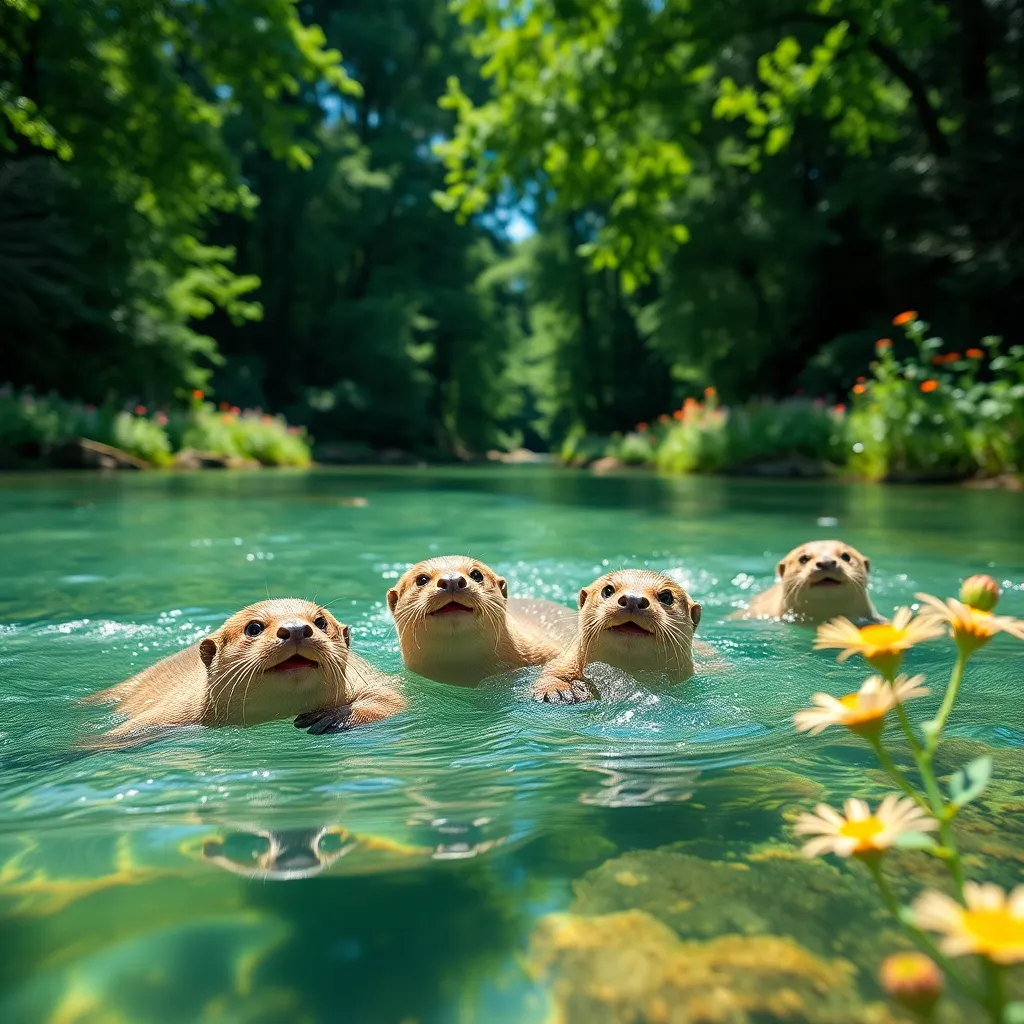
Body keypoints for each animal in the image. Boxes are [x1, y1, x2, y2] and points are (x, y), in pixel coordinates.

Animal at [81, 599, 406, 747]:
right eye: (254, 627)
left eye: (321, 621)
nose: (296, 629)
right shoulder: (170, 715)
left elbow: (392, 701)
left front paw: (333, 717)